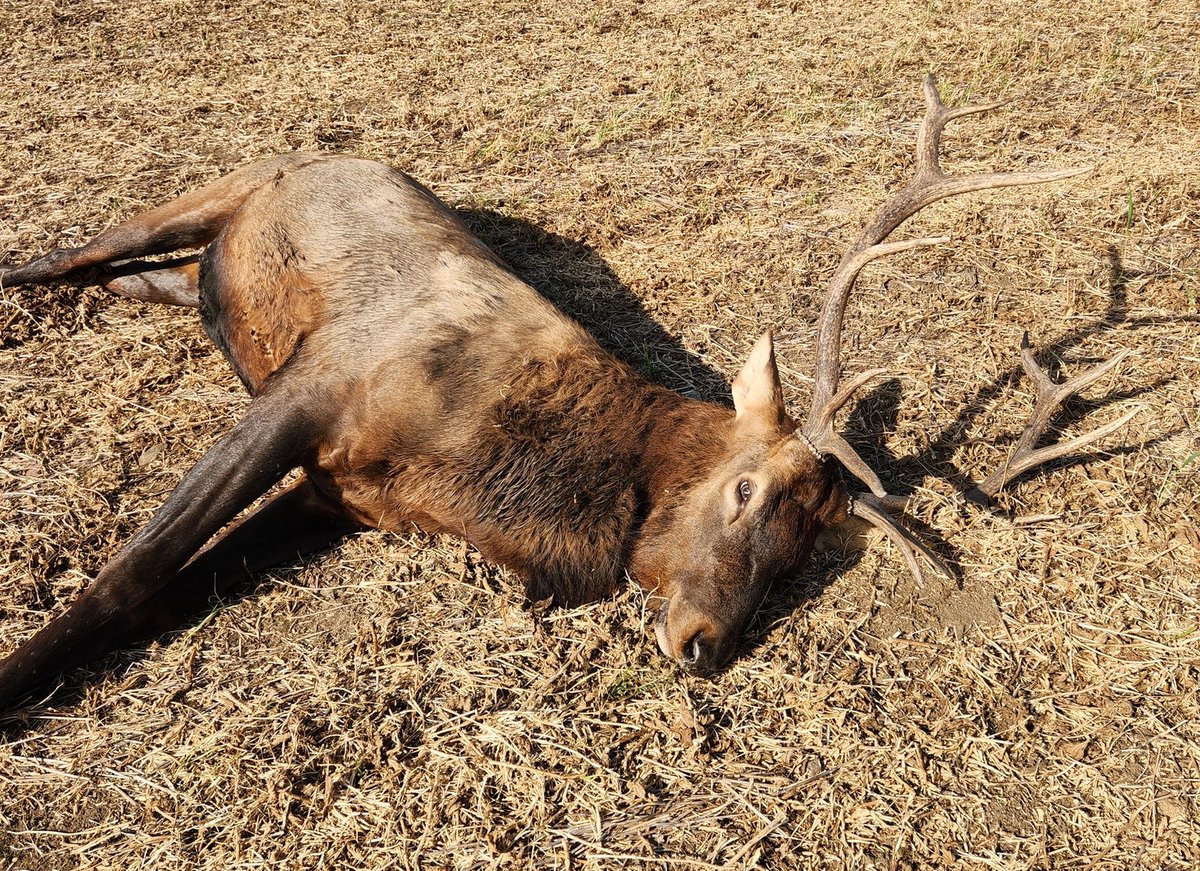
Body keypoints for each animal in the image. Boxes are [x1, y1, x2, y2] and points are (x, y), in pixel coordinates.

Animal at [0, 76, 1134, 712]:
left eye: (807, 553)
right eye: (746, 492)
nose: (705, 645)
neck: (490, 473)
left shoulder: (336, 497)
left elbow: (171, 587)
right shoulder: (309, 392)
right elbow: (130, 575)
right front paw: (19, 680)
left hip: (202, 279)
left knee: (147, 281)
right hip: (219, 188)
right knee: (78, 253)